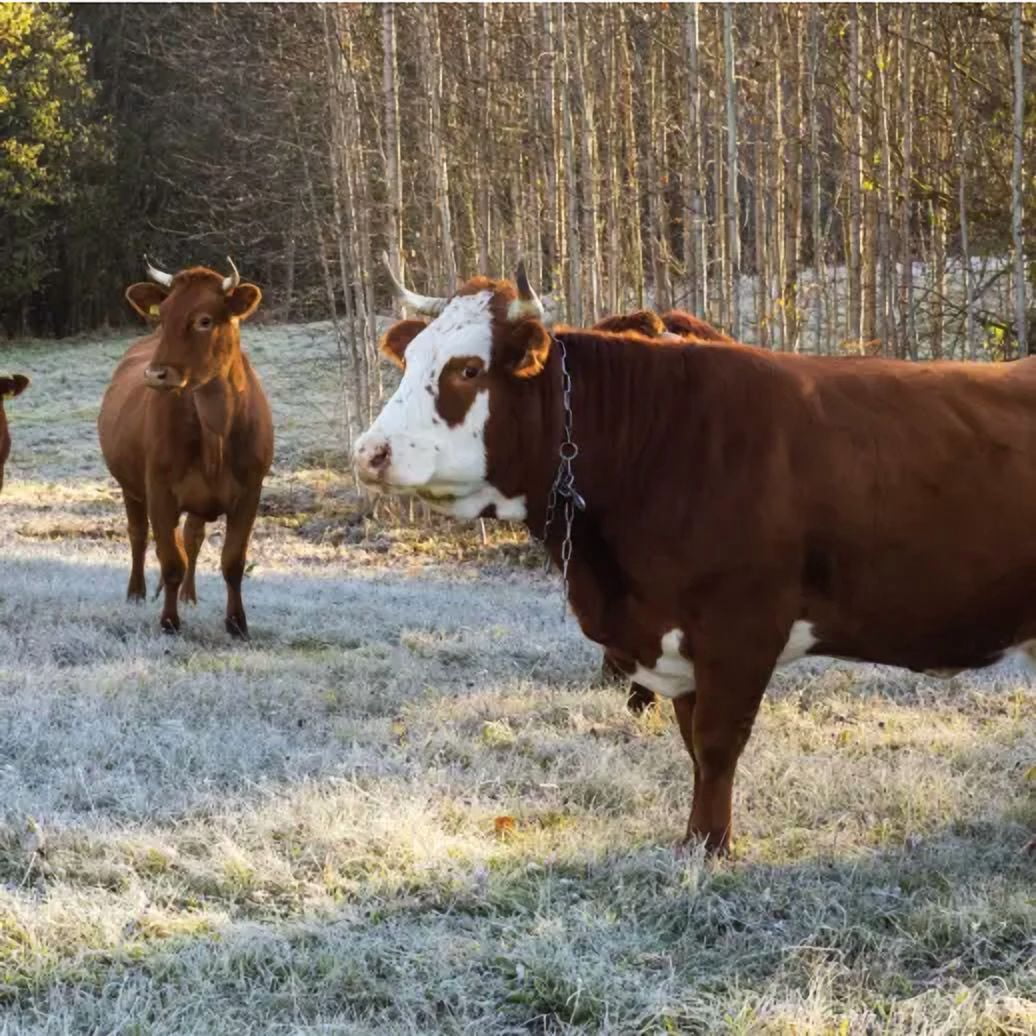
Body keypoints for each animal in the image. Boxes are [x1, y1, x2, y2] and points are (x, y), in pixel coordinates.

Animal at [98, 258, 273, 637]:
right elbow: (170, 559)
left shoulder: (250, 492)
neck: (216, 432)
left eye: (204, 320)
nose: (156, 374)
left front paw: (237, 623)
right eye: (163, 316)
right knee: (139, 535)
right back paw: (137, 593)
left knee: (192, 536)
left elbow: (232, 561)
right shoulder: (160, 490)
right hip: (131, 487)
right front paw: (169, 621)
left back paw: (189, 596)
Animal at [355, 258, 1036, 855]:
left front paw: (711, 846)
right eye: (410, 359)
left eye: (468, 370)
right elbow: (690, 742)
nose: (369, 451)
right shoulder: (674, 636)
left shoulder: (741, 629)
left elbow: (715, 743)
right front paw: (694, 840)